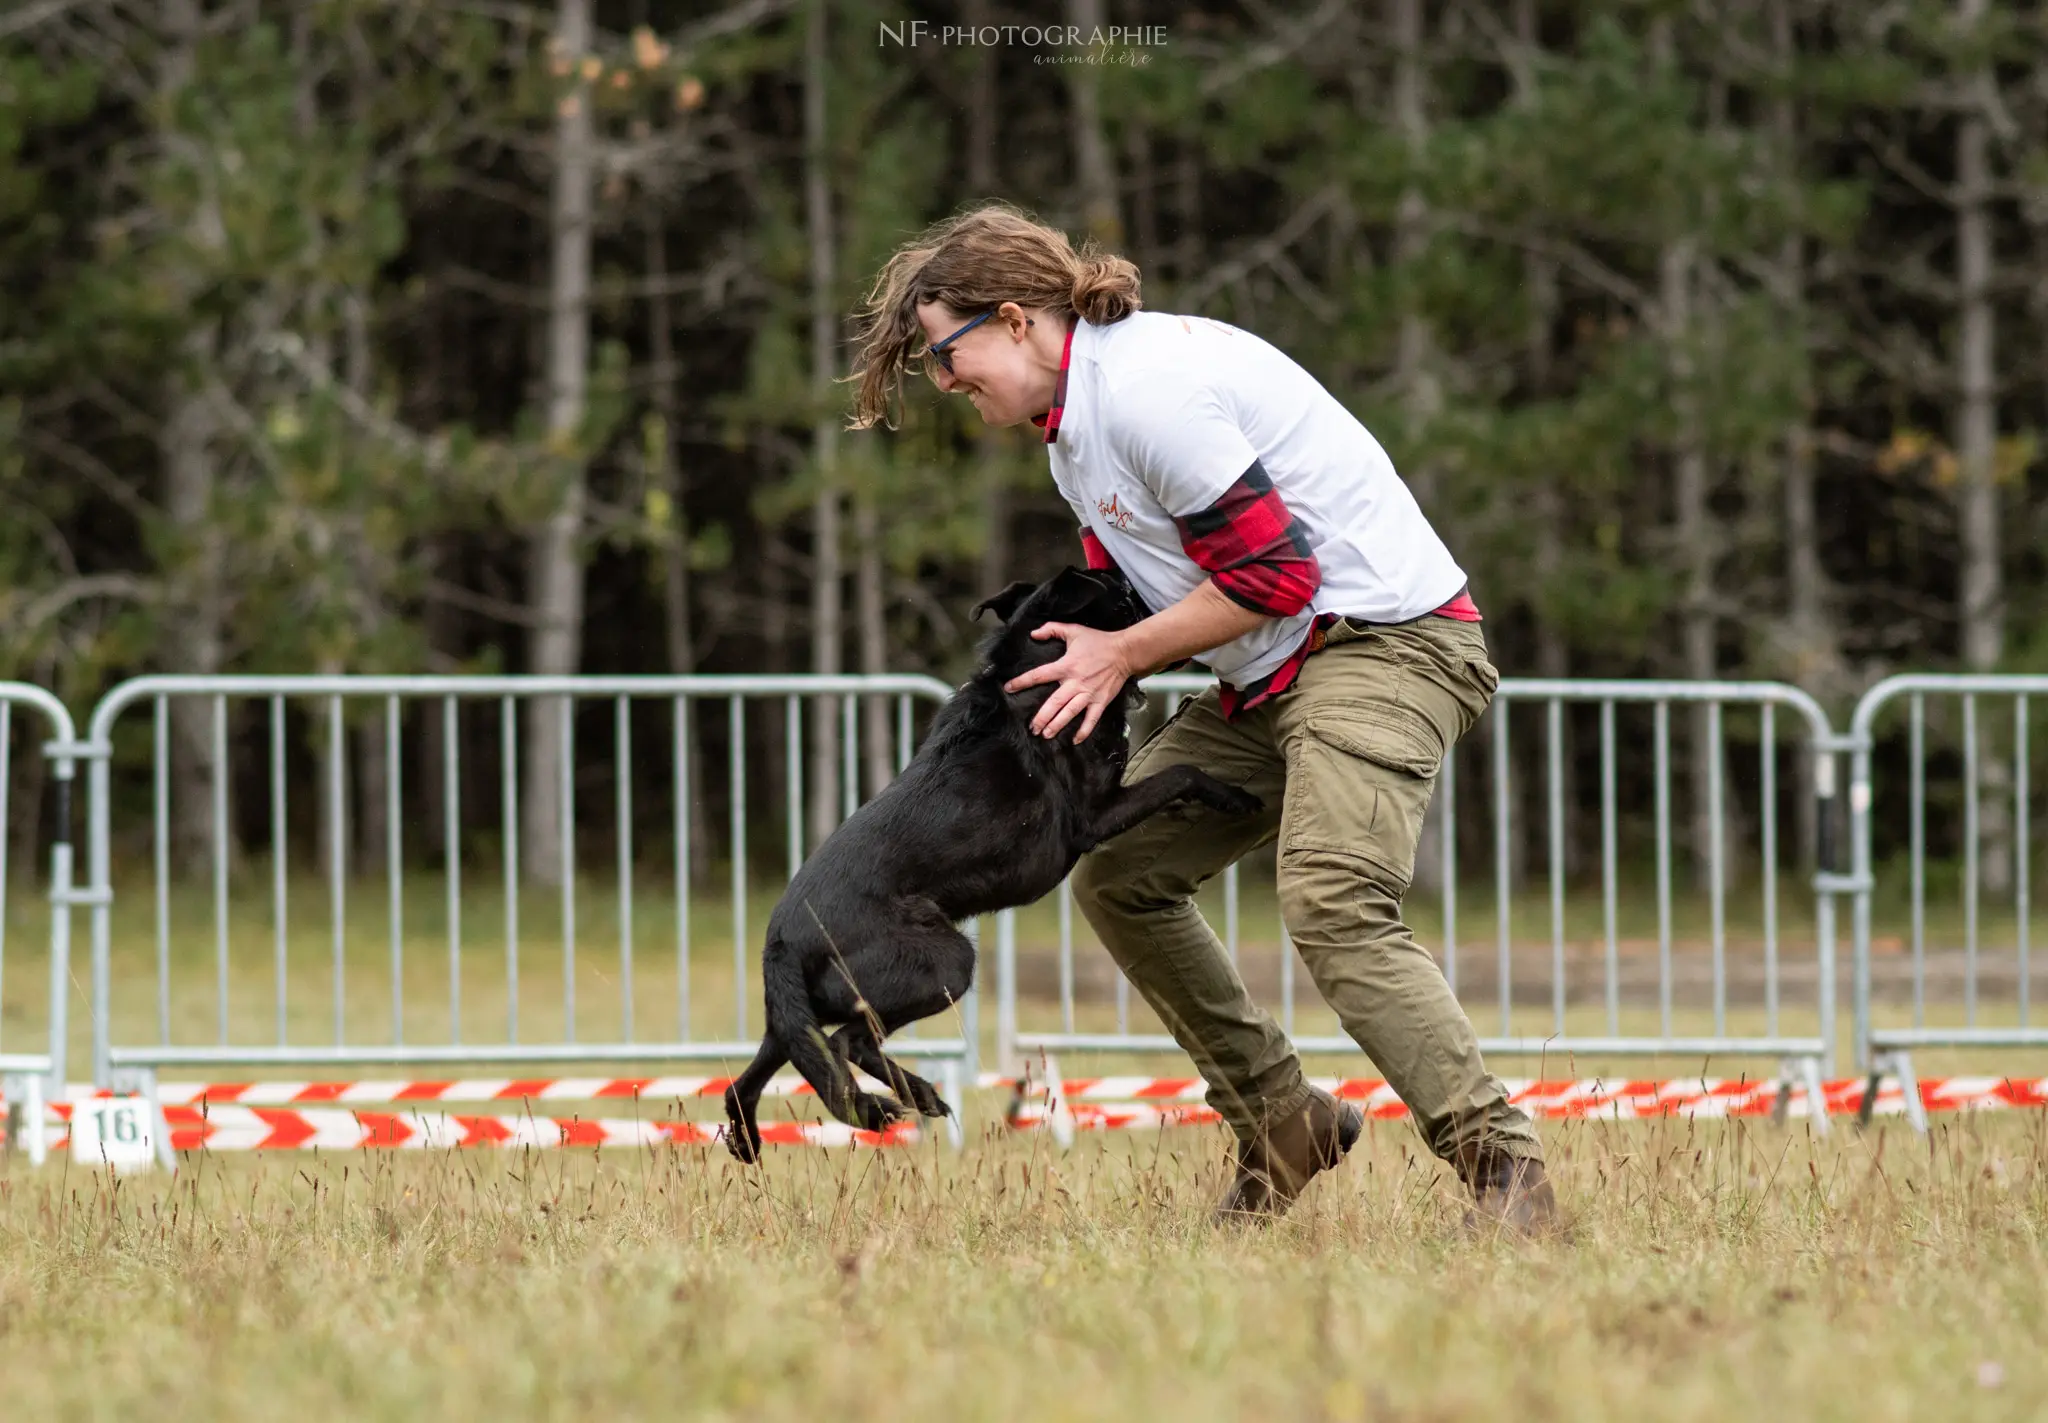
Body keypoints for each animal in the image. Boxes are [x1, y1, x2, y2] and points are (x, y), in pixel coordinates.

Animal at [720, 561, 1261, 1162]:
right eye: (1123, 595)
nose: (1169, 599)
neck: (1039, 670)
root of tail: (781, 941)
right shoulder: (1096, 814)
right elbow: (1184, 773)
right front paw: (1236, 797)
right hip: (945, 963)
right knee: (846, 1045)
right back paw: (898, 1100)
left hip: (793, 1021)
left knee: (748, 1082)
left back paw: (764, 1137)